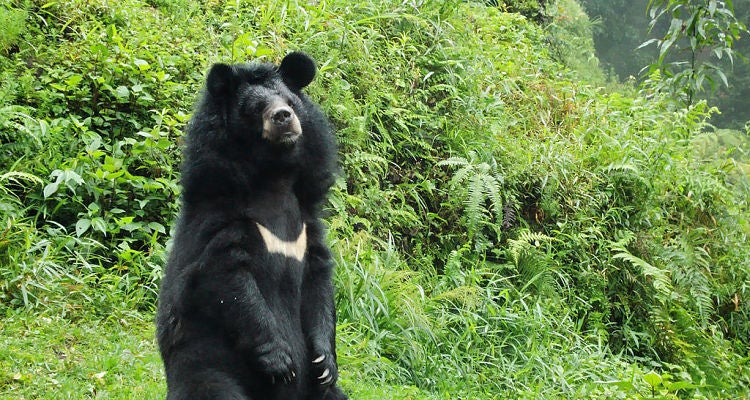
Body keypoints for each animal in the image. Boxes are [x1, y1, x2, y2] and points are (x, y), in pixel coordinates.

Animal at [155, 52, 347, 400]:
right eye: (256, 108)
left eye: (290, 101)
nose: (284, 117)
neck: (275, 178)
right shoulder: (222, 221)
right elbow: (228, 279)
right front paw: (280, 362)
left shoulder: (308, 227)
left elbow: (319, 284)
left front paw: (324, 362)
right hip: (205, 365)